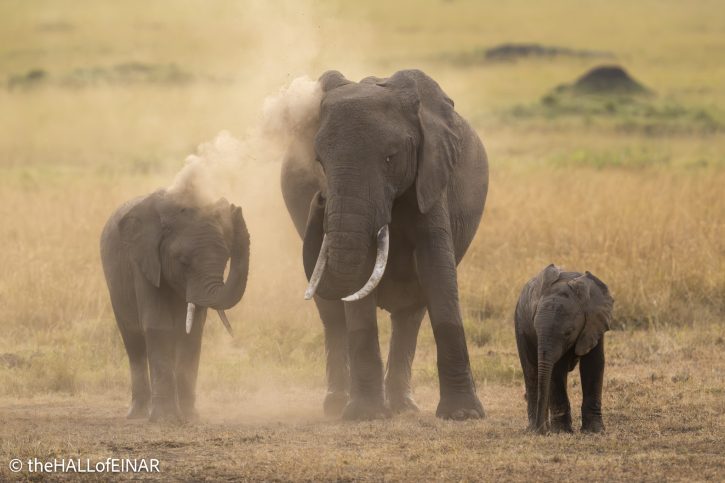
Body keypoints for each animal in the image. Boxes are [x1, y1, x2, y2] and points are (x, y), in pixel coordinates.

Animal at [100, 189, 250, 422]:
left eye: (226, 259)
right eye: (183, 262)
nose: (234, 208)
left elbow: (192, 330)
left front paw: (189, 417)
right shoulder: (143, 261)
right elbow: (158, 326)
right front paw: (166, 419)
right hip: (115, 289)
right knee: (134, 345)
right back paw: (138, 414)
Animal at [280, 69, 489, 420]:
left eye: (390, 158)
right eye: (320, 162)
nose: (321, 198)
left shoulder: (431, 174)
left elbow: (437, 268)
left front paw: (463, 415)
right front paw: (364, 415)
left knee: (411, 315)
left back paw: (404, 406)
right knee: (333, 315)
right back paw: (337, 404)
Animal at [514, 264, 614, 434]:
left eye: (568, 332)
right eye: (536, 330)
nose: (542, 432)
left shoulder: (594, 322)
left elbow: (593, 365)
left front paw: (594, 431)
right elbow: (556, 370)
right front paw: (562, 432)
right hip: (519, 325)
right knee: (531, 371)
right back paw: (533, 428)